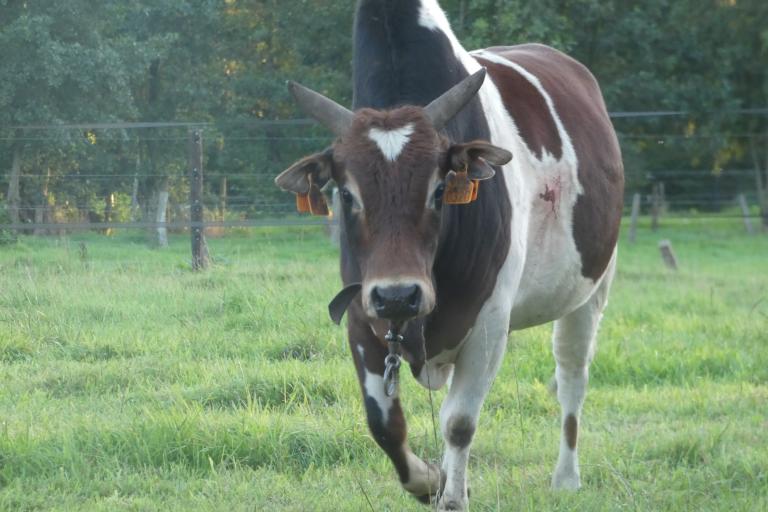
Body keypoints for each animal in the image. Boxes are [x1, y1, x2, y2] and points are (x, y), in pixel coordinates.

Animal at [276, 2, 624, 510]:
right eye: (347, 193)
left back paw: (566, 477)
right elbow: (385, 425)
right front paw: (428, 479)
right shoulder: (361, 317)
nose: (398, 297)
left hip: (590, 290)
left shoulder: (487, 325)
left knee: (572, 377)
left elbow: (458, 423)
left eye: (439, 190)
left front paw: (453, 495)